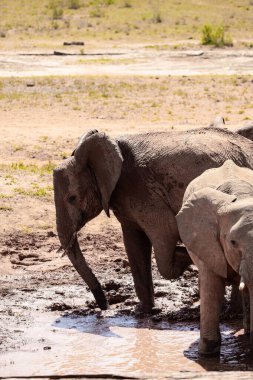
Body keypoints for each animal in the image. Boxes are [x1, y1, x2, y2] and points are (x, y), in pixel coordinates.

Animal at [52, 127, 253, 312]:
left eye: (72, 198)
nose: (104, 307)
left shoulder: (144, 192)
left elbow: (167, 233)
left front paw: (183, 256)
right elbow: (133, 243)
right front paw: (143, 312)